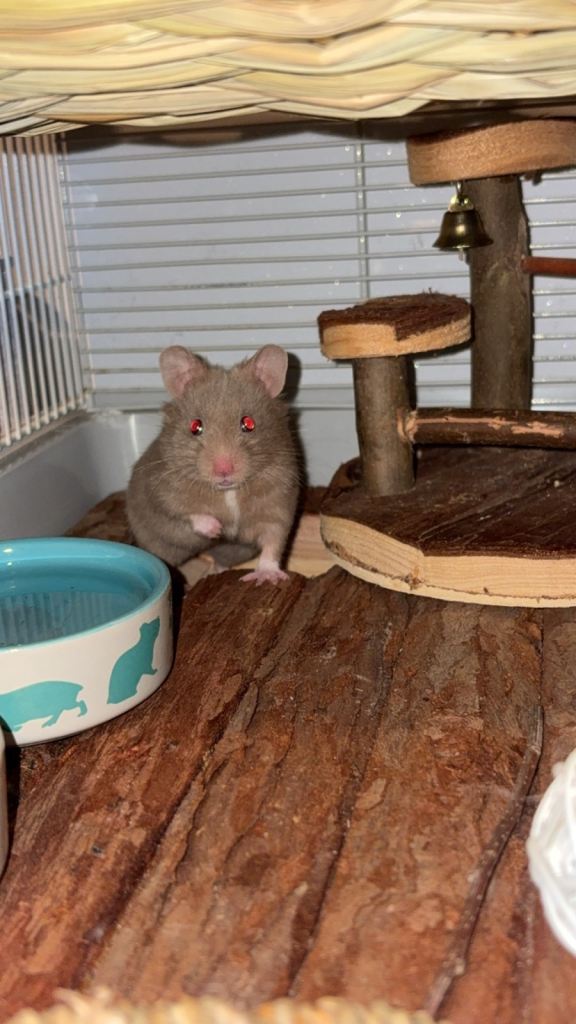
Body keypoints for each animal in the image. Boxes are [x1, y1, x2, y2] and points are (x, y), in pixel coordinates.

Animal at [126, 344, 300, 584]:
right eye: (195, 426)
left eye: (248, 423)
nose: (223, 470)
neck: (228, 491)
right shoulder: (162, 489)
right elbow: (183, 511)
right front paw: (217, 529)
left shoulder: (279, 502)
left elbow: (273, 542)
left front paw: (266, 577)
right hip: (158, 545)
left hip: (236, 551)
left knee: (222, 560)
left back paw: (214, 571)